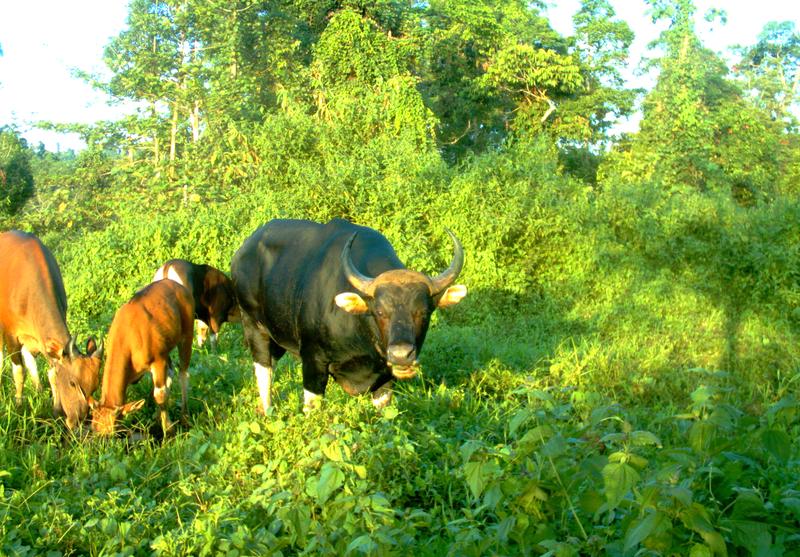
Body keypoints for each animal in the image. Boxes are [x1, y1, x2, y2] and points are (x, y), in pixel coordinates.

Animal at [0, 228, 103, 428]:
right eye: (72, 383)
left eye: (94, 386)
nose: (79, 419)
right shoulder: (10, 334)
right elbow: (19, 371)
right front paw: (18, 404)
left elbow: (52, 373)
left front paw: (55, 409)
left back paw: (39, 390)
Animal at [90, 278, 194, 434]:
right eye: (94, 429)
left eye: (112, 432)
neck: (127, 338)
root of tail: (177, 285)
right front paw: (158, 419)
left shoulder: (158, 361)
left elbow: (160, 395)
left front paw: (168, 430)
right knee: (170, 373)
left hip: (187, 336)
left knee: (183, 373)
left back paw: (185, 417)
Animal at [231, 217, 466, 412]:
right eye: (379, 311)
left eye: (424, 312)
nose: (401, 355)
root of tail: (242, 252)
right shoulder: (313, 362)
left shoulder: (384, 378)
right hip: (253, 325)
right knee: (264, 370)